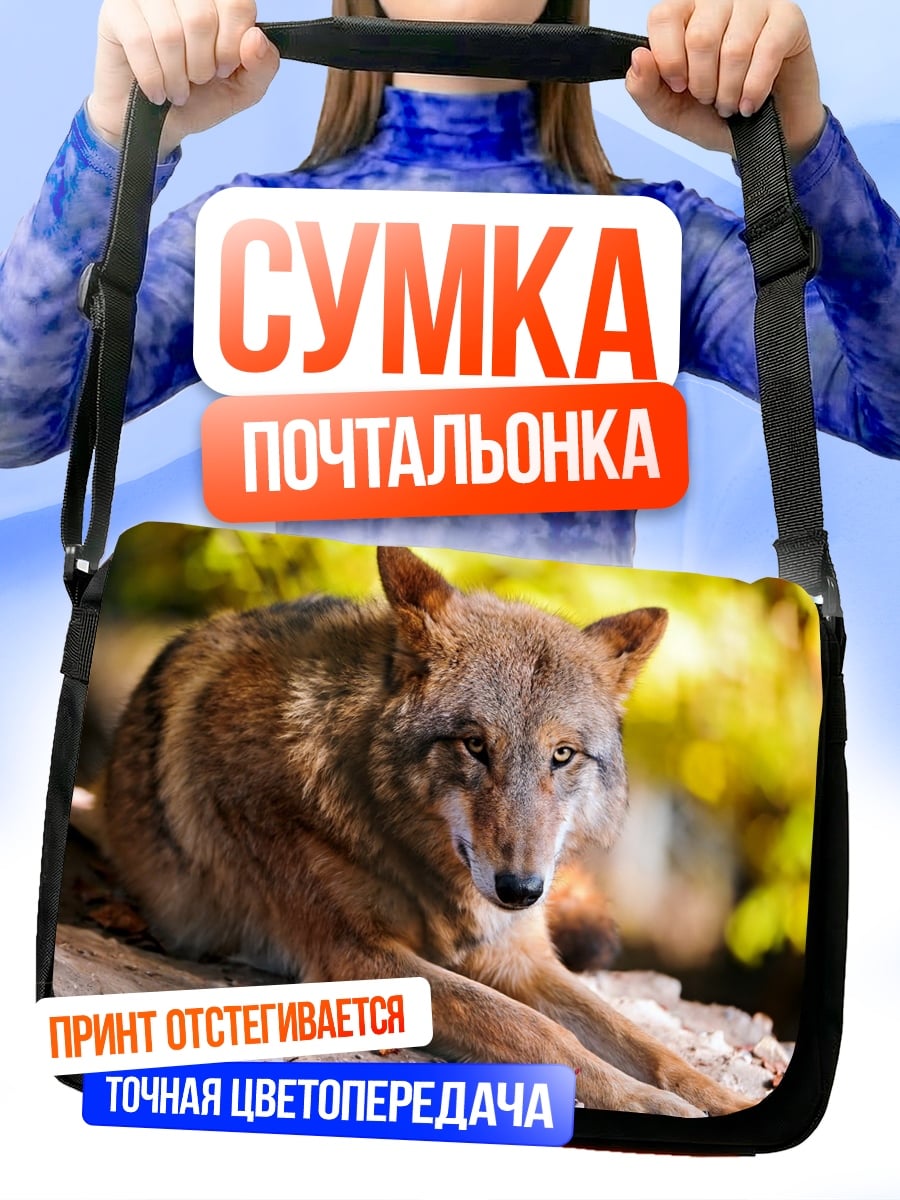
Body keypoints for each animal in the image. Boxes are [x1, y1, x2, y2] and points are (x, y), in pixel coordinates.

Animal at [98, 546, 747, 1117]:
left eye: (562, 755)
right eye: (475, 745)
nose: (521, 891)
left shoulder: (518, 957)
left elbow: (650, 1044)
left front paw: (723, 1100)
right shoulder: (357, 956)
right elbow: (537, 1031)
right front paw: (650, 1103)